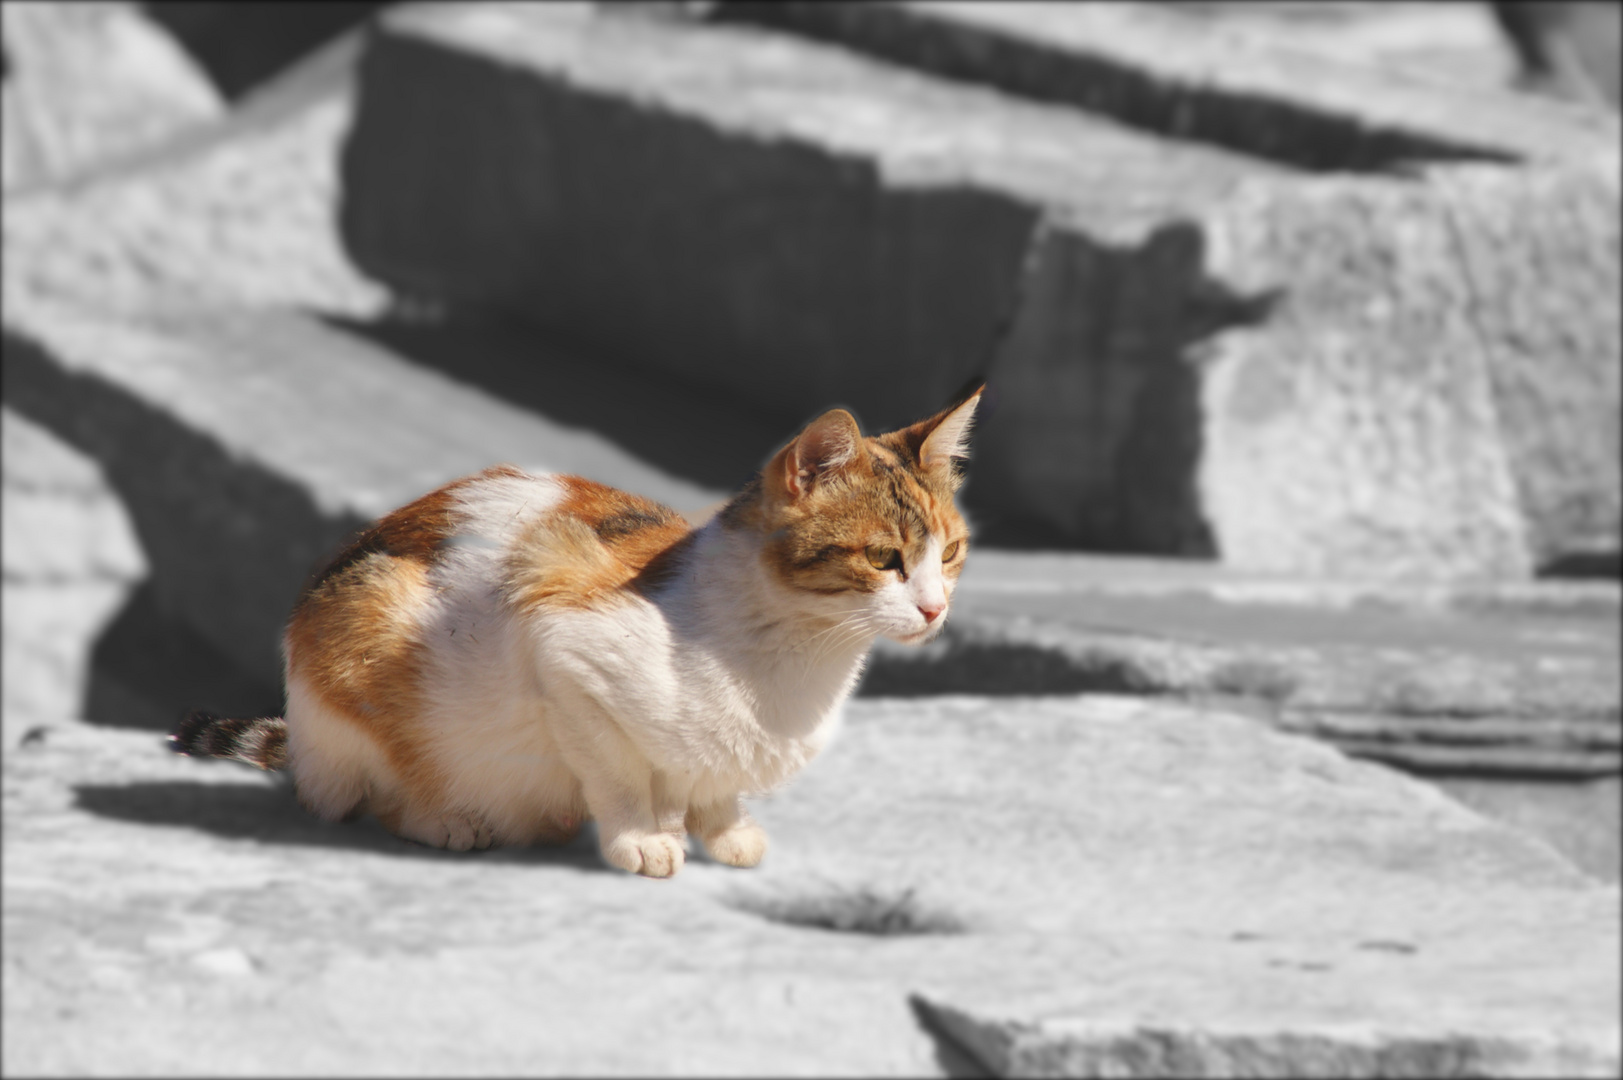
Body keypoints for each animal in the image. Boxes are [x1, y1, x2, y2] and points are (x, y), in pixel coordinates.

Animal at [171, 388, 980, 876]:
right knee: (364, 795)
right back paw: (448, 819)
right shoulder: (563, 645)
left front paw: (723, 830)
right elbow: (616, 770)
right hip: (362, 637)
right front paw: (642, 839)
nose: (934, 610)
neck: (800, 660)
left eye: (949, 553)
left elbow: (715, 784)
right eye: (882, 559)